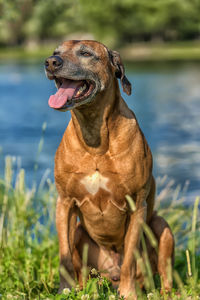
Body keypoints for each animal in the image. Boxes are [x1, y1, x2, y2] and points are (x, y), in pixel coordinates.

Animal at [45, 40, 173, 300]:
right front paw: (64, 290)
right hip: (80, 233)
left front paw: (128, 293)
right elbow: (64, 257)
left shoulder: (137, 206)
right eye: (56, 52)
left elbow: (130, 260)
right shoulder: (64, 203)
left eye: (85, 53)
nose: (51, 62)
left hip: (162, 227)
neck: (94, 135)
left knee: (163, 270)